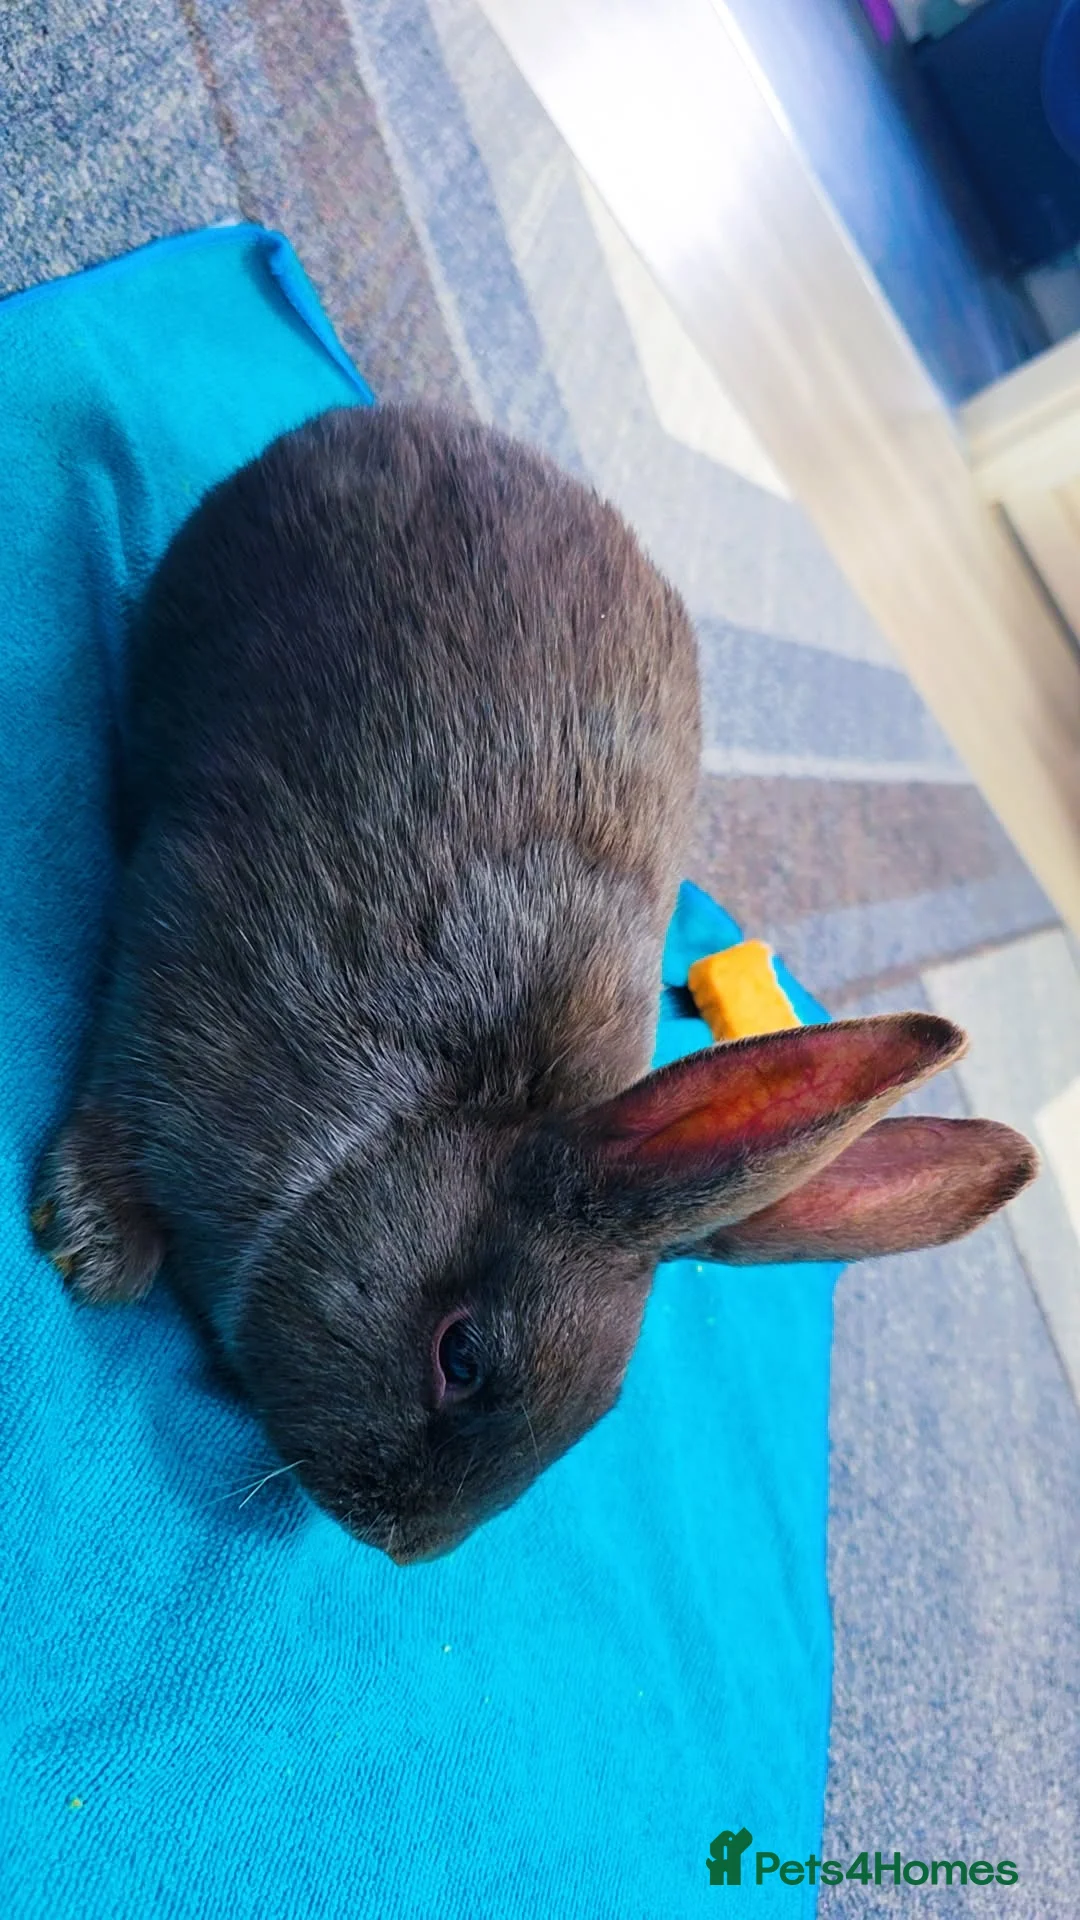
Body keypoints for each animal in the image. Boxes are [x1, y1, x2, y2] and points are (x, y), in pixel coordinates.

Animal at [30, 404, 1038, 1563]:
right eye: (461, 1357)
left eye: (595, 1423)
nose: (399, 1541)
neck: (392, 1136)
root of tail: (403, 420)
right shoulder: (190, 972)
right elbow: (124, 1081)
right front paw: (92, 1242)